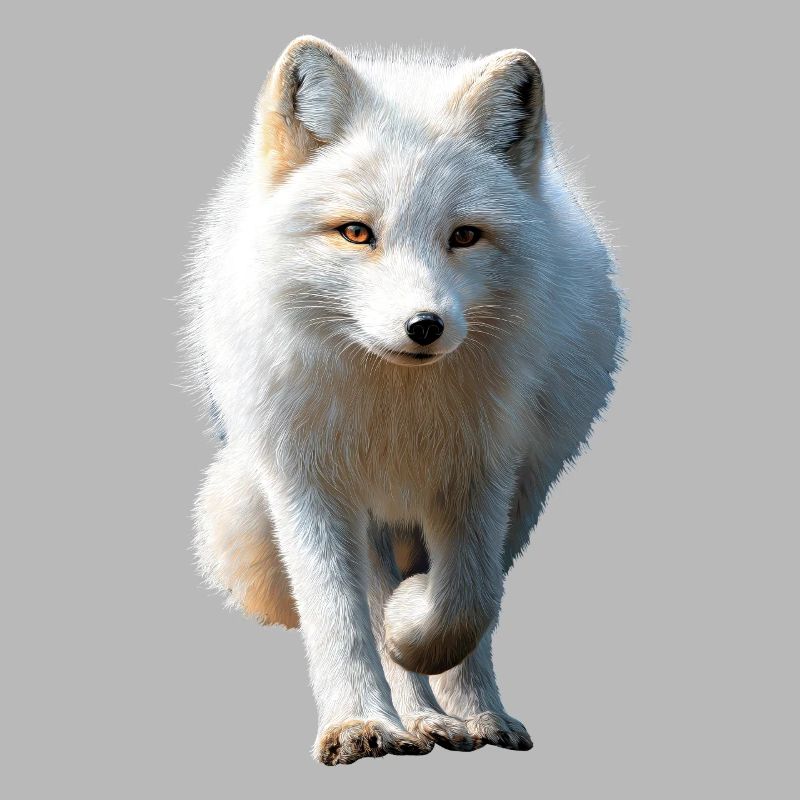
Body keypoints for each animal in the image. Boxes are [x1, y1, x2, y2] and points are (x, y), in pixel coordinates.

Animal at [181, 35, 625, 766]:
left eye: (465, 236)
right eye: (357, 233)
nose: (425, 327)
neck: (396, 411)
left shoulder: (482, 471)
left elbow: (468, 602)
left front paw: (421, 641)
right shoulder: (309, 480)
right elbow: (338, 613)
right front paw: (359, 721)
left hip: (524, 492)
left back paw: (467, 716)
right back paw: (413, 718)